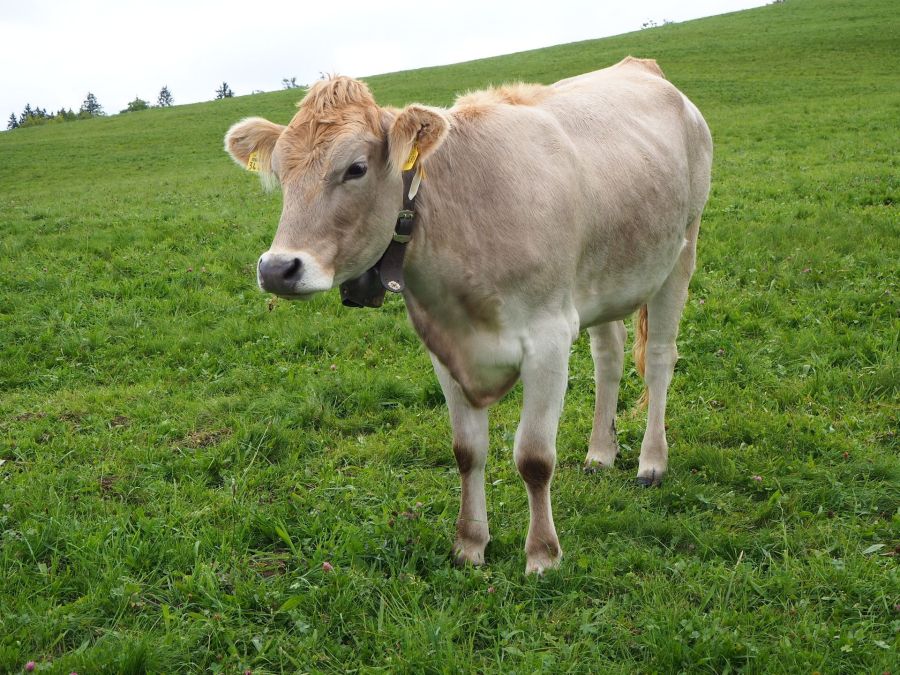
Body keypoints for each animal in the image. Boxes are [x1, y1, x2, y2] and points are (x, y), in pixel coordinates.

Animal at [223, 59, 712, 576]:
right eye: (281, 173)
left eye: (355, 168)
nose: (277, 269)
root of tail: (639, 65)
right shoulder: (444, 345)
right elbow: (467, 452)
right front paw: (470, 544)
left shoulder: (549, 337)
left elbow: (534, 458)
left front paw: (542, 555)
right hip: (608, 278)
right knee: (609, 358)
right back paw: (601, 452)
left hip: (682, 249)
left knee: (659, 358)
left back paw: (651, 463)